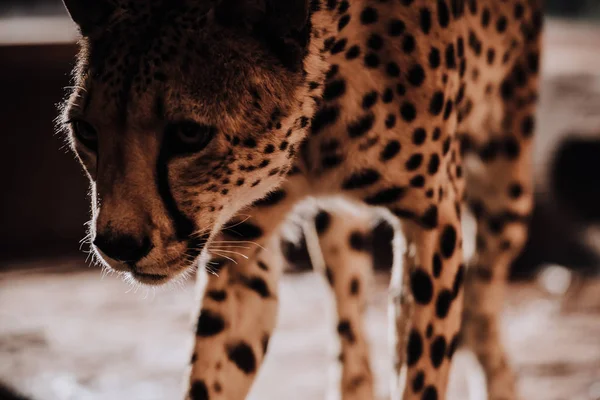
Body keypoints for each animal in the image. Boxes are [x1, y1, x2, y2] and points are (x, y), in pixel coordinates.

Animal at [59, 0, 544, 398]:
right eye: (85, 130)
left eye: (189, 133)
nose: (118, 245)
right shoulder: (241, 243)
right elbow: (215, 366)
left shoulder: (431, 221)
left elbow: (422, 371)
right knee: (349, 326)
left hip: (507, 189)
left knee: (482, 300)